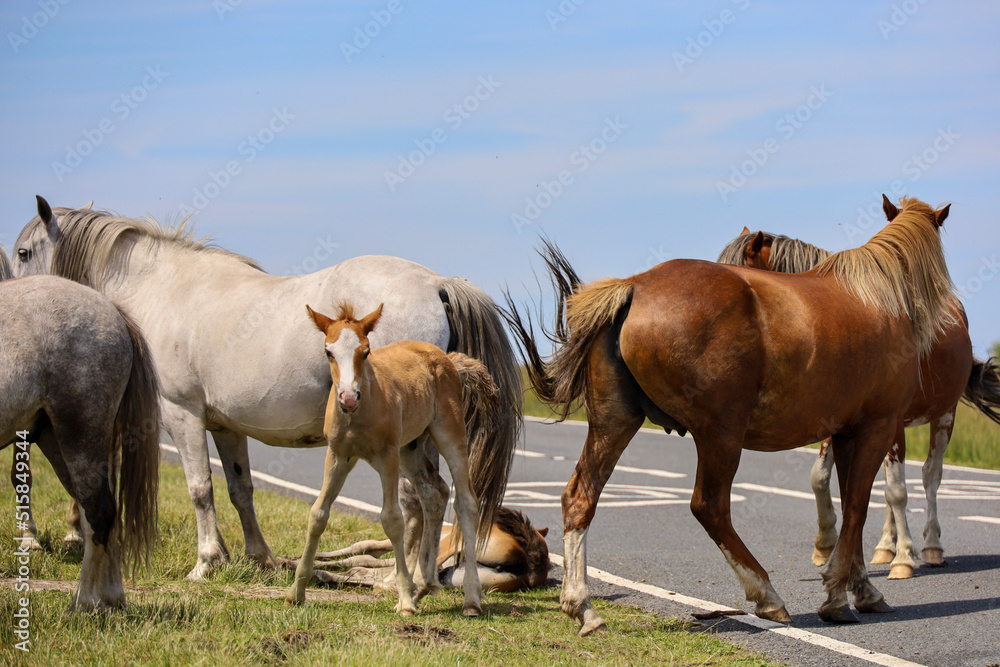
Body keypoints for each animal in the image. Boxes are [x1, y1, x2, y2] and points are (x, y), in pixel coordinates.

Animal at [15, 196, 520, 580]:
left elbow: (200, 487)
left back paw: (404, 580)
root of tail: (435, 283)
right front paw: (258, 557)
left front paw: (206, 563)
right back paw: (421, 579)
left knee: (417, 499)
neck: (164, 289)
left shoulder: (181, 412)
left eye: (21, 253)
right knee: (434, 495)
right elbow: (240, 490)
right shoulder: (224, 426)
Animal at [286, 306, 492, 620]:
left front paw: (404, 599)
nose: (348, 397)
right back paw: (425, 586)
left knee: (466, 502)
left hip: (448, 433)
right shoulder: (338, 456)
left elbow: (393, 519)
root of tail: (447, 358)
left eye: (366, 351)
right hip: (411, 448)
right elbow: (318, 514)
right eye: (328, 352)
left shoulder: (387, 456)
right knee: (435, 493)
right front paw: (296, 592)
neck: (360, 411)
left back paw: (470, 598)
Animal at [512, 197, 956, 632]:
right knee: (710, 507)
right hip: (720, 435)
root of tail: (634, 286)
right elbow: (858, 509)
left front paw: (861, 589)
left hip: (614, 423)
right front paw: (836, 596)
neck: (881, 296)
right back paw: (767, 595)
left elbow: (851, 509)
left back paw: (581, 605)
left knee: (581, 497)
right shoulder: (877, 427)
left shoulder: (847, 433)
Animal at [720, 209, 1000, 580]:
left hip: (944, 414)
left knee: (930, 477)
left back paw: (930, 547)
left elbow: (898, 490)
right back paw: (884, 546)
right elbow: (822, 478)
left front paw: (904, 558)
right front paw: (826, 545)